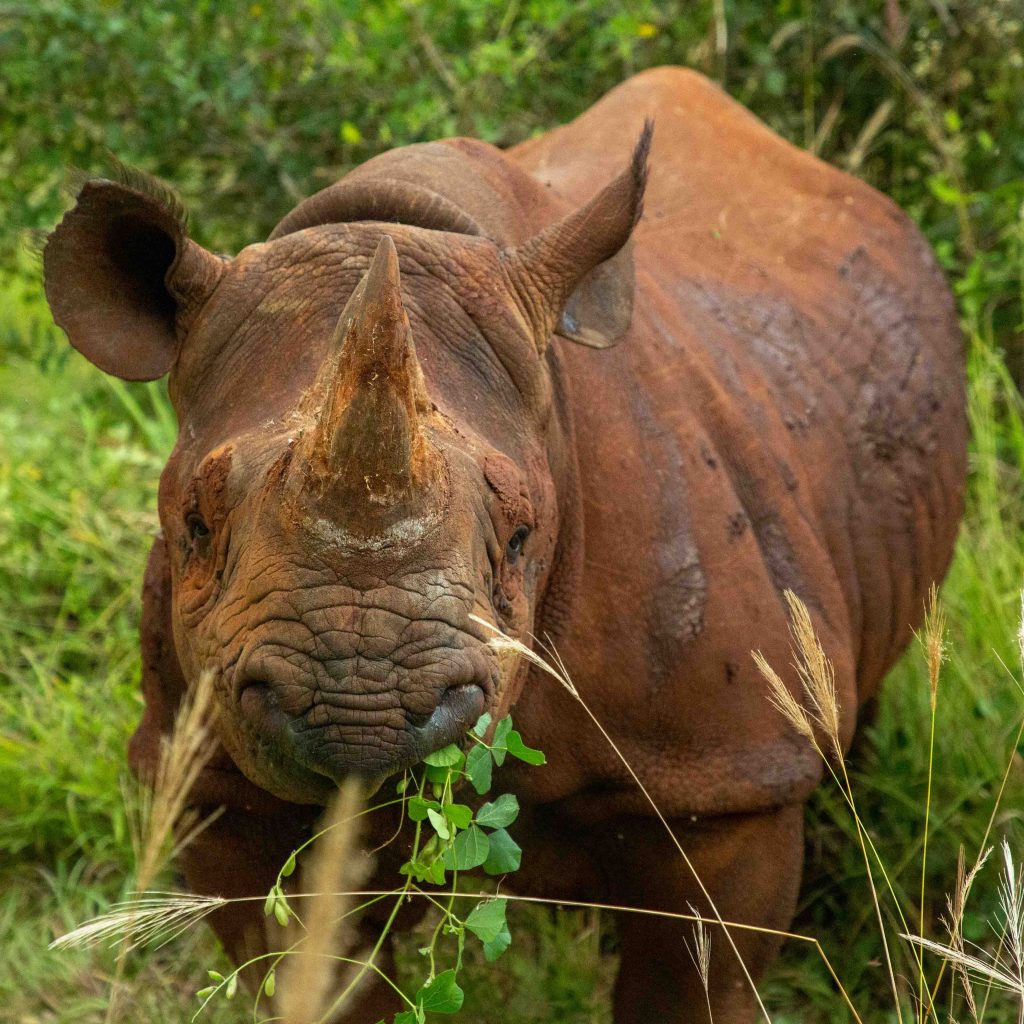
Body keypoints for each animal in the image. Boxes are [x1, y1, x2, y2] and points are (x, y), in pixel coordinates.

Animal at [43, 68, 966, 1022]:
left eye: (521, 536)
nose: (360, 716)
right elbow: (311, 975)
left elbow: (693, 982)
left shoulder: (730, 782)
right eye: (195, 523)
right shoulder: (213, 788)